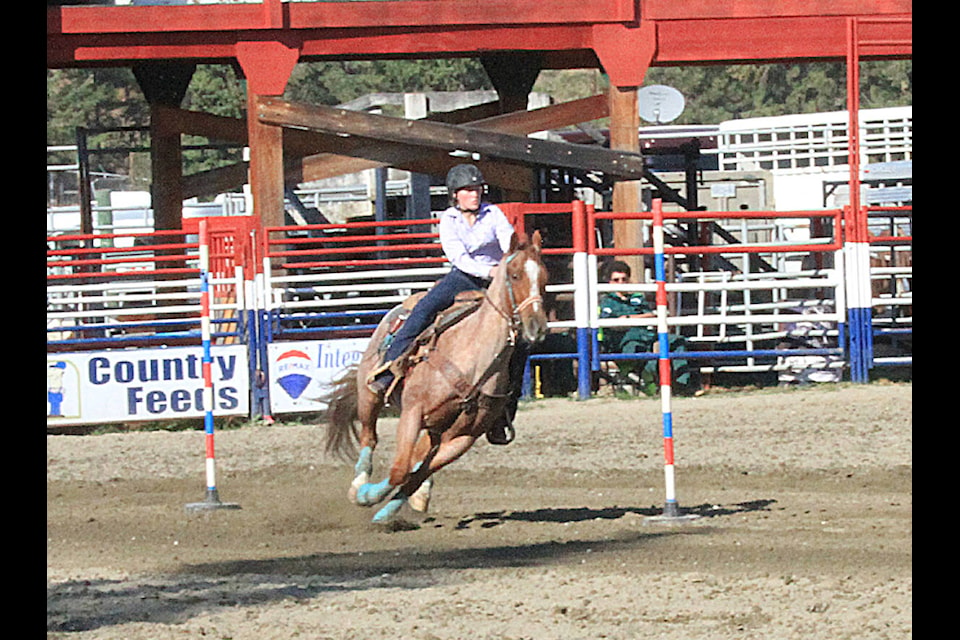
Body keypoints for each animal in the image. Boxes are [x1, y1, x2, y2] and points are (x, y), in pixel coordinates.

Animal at [322, 231, 548, 524]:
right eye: (515, 274)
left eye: (544, 278)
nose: (537, 327)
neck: (474, 360)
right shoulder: (412, 411)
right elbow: (400, 469)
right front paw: (369, 496)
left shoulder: (464, 437)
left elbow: (417, 472)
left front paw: (390, 508)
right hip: (369, 394)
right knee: (370, 438)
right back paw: (359, 485)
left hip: (438, 425)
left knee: (421, 456)